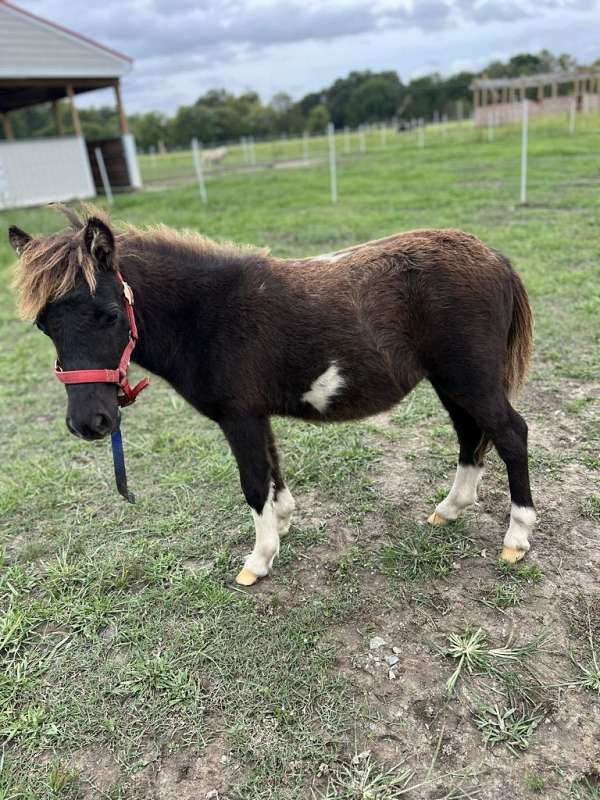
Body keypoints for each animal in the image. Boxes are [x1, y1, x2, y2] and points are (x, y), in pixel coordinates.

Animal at [8, 209, 536, 588]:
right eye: (43, 325)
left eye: (110, 314)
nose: (89, 423)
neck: (207, 313)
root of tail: (495, 258)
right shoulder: (255, 415)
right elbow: (273, 471)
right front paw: (281, 524)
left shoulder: (238, 417)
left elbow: (252, 482)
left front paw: (258, 561)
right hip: (450, 383)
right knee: (471, 434)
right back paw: (450, 508)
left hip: (470, 379)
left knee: (510, 434)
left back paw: (517, 536)